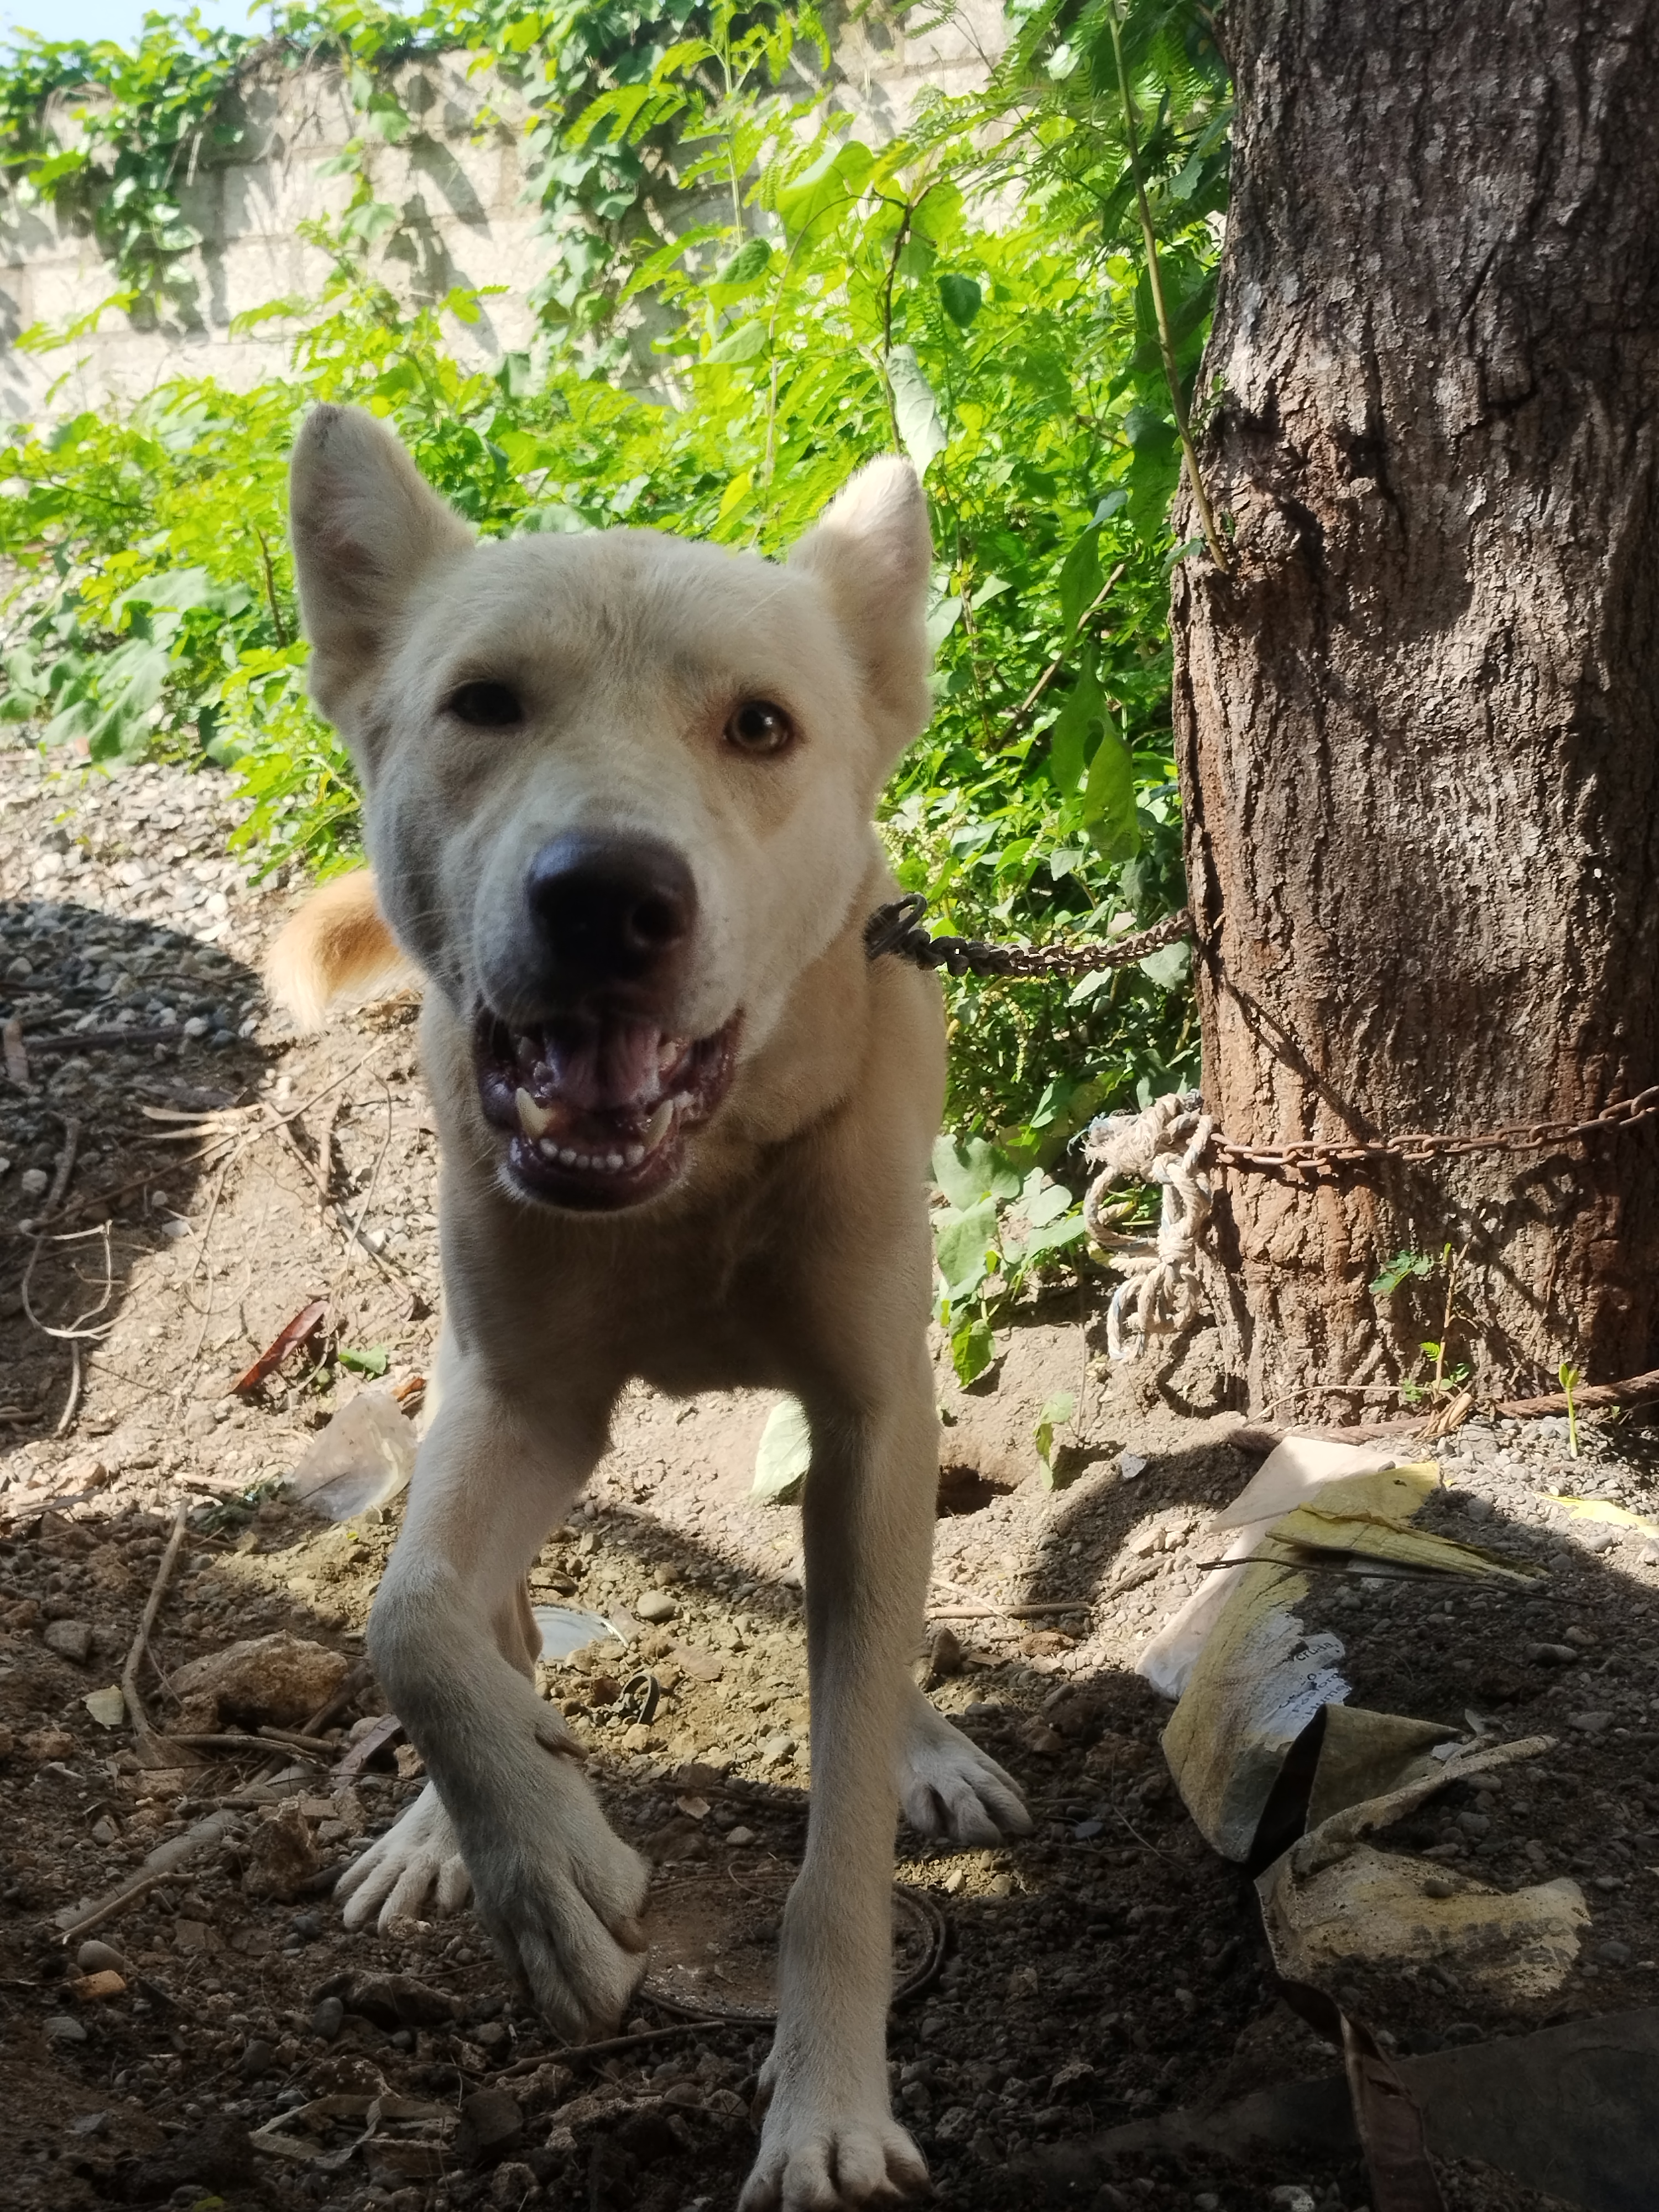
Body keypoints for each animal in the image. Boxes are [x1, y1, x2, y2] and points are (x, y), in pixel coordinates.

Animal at [271, 407, 1026, 2203]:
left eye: (760, 725)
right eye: (484, 702)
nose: (606, 896)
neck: (694, 1175)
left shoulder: (869, 1412)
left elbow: (840, 1826)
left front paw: (826, 2107)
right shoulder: (523, 1395)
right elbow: (410, 1615)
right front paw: (537, 1865)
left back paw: (924, 1743)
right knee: (471, 1602)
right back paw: (445, 1830)